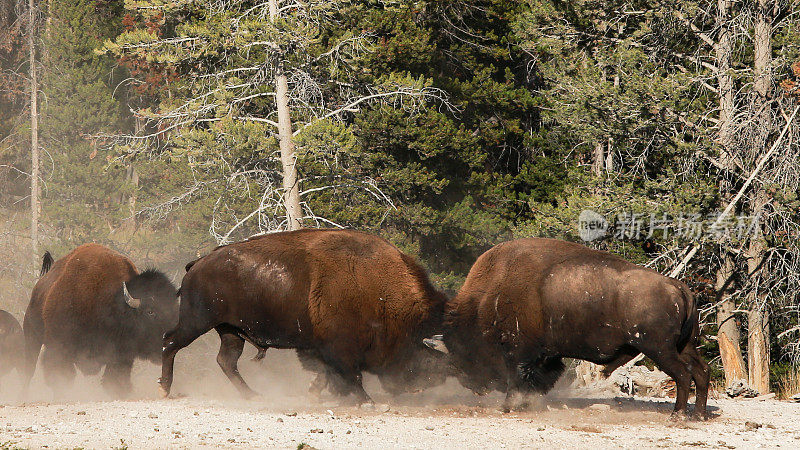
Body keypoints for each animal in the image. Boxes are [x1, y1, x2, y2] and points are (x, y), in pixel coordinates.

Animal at [23, 244, 178, 396]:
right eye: (150, 312)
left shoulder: (121, 356)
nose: (169, 343)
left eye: (174, 309)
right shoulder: (59, 349)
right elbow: (61, 377)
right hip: (32, 338)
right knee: (28, 370)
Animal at [158, 229, 450, 404]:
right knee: (170, 342)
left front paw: (315, 394)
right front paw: (366, 401)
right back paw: (164, 389)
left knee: (226, 361)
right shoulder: (339, 348)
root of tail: (197, 264)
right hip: (197, 322)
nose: (419, 387)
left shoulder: (323, 349)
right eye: (425, 356)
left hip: (230, 330)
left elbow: (327, 374)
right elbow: (350, 375)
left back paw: (252, 395)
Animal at [422, 239, 708, 418]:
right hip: (684, 346)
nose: (475, 387)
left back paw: (678, 415)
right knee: (701, 372)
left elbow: (517, 379)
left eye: (462, 352)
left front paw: (508, 406)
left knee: (683, 375)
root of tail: (679, 287)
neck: (493, 293)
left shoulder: (518, 353)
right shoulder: (546, 355)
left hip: (659, 349)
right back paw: (699, 416)